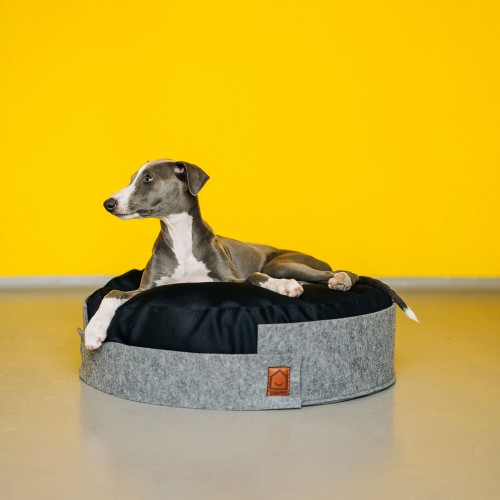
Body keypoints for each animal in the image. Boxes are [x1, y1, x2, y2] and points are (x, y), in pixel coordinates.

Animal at [84, 159, 417, 350]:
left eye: (148, 178)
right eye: (133, 178)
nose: (108, 203)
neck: (179, 234)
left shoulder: (232, 278)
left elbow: (256, 276)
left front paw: (284, 289)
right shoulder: (148, 288)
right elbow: (113, 292)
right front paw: (94, 331)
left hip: (285, 263)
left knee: (340, 273)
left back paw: (338, 281)